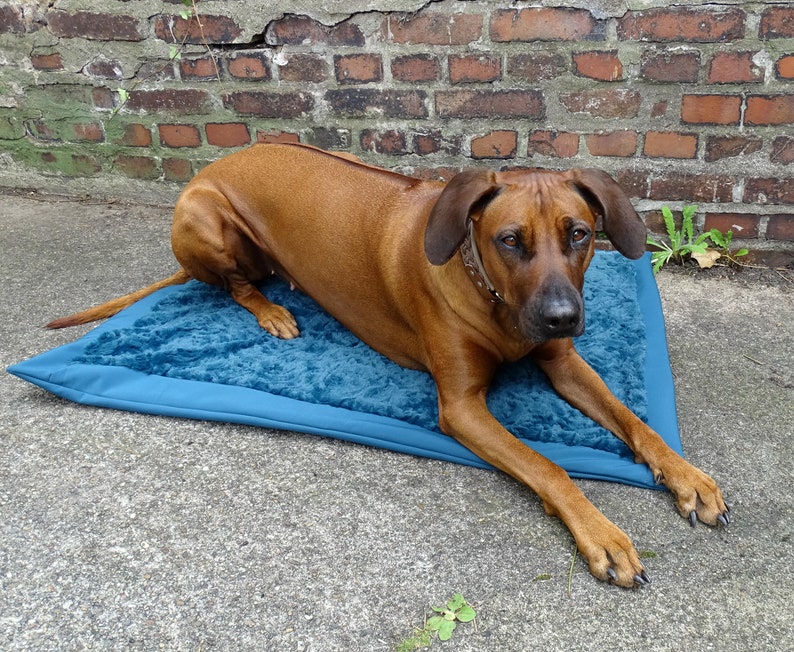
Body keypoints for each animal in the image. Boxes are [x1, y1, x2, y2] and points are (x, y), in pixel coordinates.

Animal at [49, 141, 728, 584]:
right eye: (510, 240)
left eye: (580, 234)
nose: (564, 316)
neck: (493, 297)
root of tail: (217, 161)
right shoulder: (461, 408)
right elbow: (550, 467)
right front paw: (603, 536)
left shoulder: (562, 362)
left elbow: (636, 422)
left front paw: (688, 477)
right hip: (206, 224)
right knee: (235, 286)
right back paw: (272, 312)